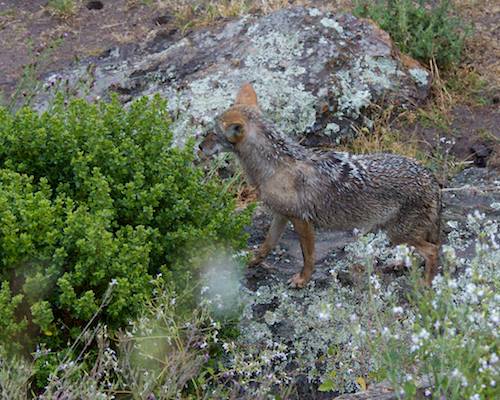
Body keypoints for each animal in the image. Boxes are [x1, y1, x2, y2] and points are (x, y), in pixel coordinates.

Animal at [199, 83, 441, 288]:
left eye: (215, 133)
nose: (200, 147)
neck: (273, 168)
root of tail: (431, 178)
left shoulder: (302, 221)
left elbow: (308, 257)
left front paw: (302, 280)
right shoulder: (281, 215)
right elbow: (266, 246)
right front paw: (250, 261)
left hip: (398, 234)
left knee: (433, 250)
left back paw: (426, 284)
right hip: (397, 234)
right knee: (415, 251)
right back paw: (400, 264)